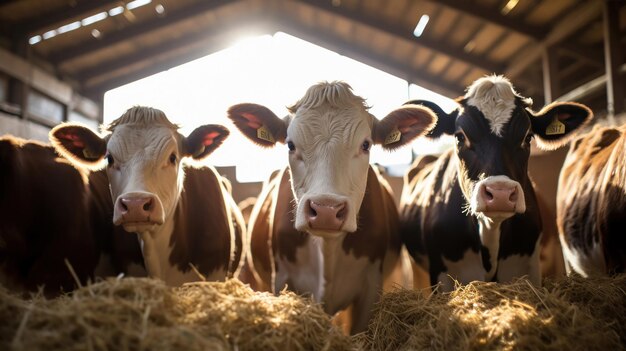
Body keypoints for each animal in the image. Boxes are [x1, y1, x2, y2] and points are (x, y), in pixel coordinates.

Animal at [224, 81, 434, 334]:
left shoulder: (370, 287)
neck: (328, 248)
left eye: (366, 145)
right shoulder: (281, 279)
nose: (326, 210)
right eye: (290, 145)